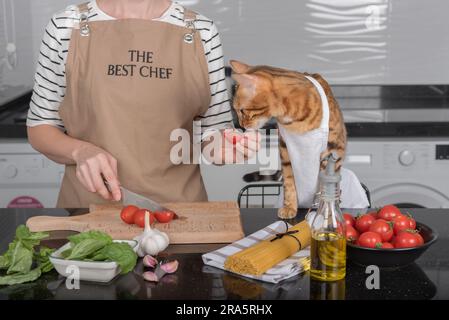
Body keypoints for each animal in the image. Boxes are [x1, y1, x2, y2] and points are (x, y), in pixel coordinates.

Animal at [229, 60, 344, 220]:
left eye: (242, 110)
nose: (241, 125)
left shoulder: (334, 148)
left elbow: (323, 187)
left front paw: (323, 213)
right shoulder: (285, 149)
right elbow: (289, 182)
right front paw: (290, 207)